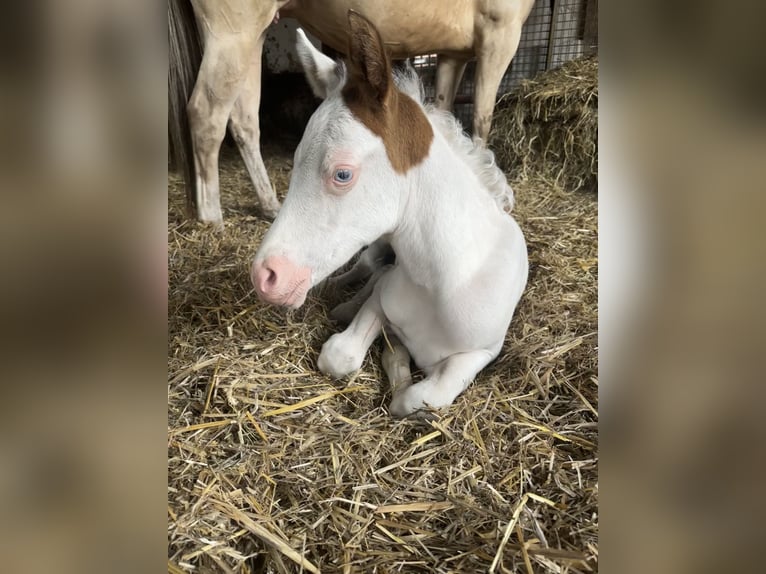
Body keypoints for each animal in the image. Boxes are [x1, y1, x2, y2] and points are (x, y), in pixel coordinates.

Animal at [171, 0, 536, 230]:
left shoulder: (452, 53)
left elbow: (446, 112)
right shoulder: (500, 34)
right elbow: (482, 120)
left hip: (255, 33)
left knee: (244, 121)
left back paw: (269, 205)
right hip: (232, 30)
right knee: (206, 114)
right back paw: (211, 216)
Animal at [252, 12, 528, 418]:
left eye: (342, 174)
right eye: (296, 157)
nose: (265, 276)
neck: (443, 283)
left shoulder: (483, 351)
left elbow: (423, 397)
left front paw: (400, 377)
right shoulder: (384, 297)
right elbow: (341, 353)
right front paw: (387, 351)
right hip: (376, 246)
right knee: (367, 267)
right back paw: (342, 298)